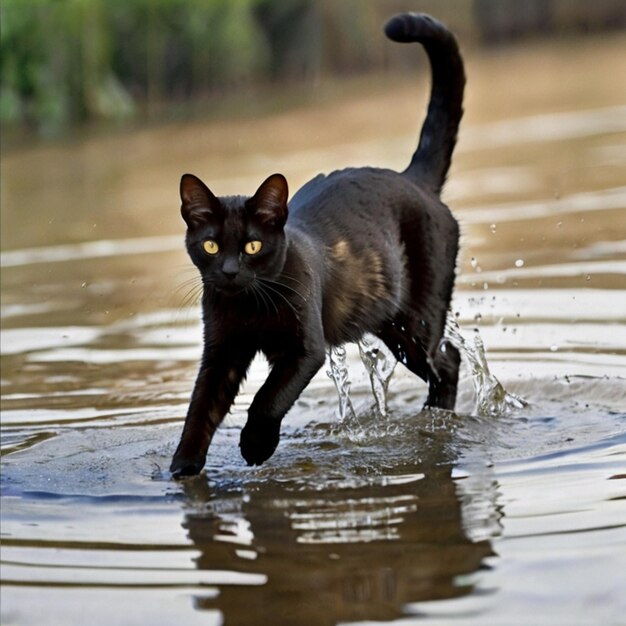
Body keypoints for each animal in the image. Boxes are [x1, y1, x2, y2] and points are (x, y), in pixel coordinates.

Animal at [169, 12, 464, 476]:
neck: (249, 306)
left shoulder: (304, 351)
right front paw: (182, 468)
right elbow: (200, 409)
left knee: (447, 362)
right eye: (212, 246)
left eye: (252, 246)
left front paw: (256, 445)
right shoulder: (221, 353)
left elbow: (268, 398)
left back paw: (434, 417)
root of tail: (412, 179)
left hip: (414, 324)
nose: (230, 272)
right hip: (389, 323)